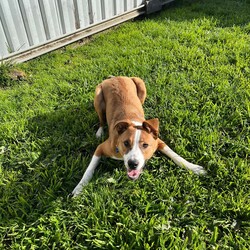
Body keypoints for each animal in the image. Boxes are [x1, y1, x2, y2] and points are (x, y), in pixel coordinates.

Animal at [71, 76, 206, 197]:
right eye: (126, 143)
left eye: (145, 145)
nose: (133, 164)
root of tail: (114, 77)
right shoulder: (101, 148)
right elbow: (89, 169)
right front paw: (79, 187)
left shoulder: (158, 141)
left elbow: (175, 155)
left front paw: (193, 168)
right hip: (98, 96)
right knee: (101, 120)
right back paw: (99, 132)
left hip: (140, 84)